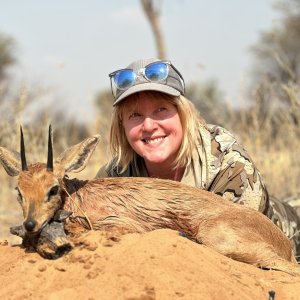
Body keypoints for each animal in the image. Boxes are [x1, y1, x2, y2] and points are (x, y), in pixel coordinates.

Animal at [0, 126, 298, 276]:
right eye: (19, 191)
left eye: (52, 189)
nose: (30, 224)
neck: (77, 196)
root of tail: (281, 240)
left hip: (218, 237)